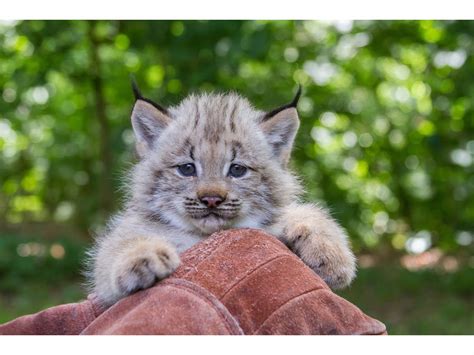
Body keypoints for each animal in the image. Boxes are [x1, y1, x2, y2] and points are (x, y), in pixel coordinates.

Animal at [88, 83, 356, 306]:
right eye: (187, 169)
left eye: (237, 170)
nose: (211, 199)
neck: (202, 234)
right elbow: (116, 246)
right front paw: (141, 256)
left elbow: (307, 211)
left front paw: (331, 254)